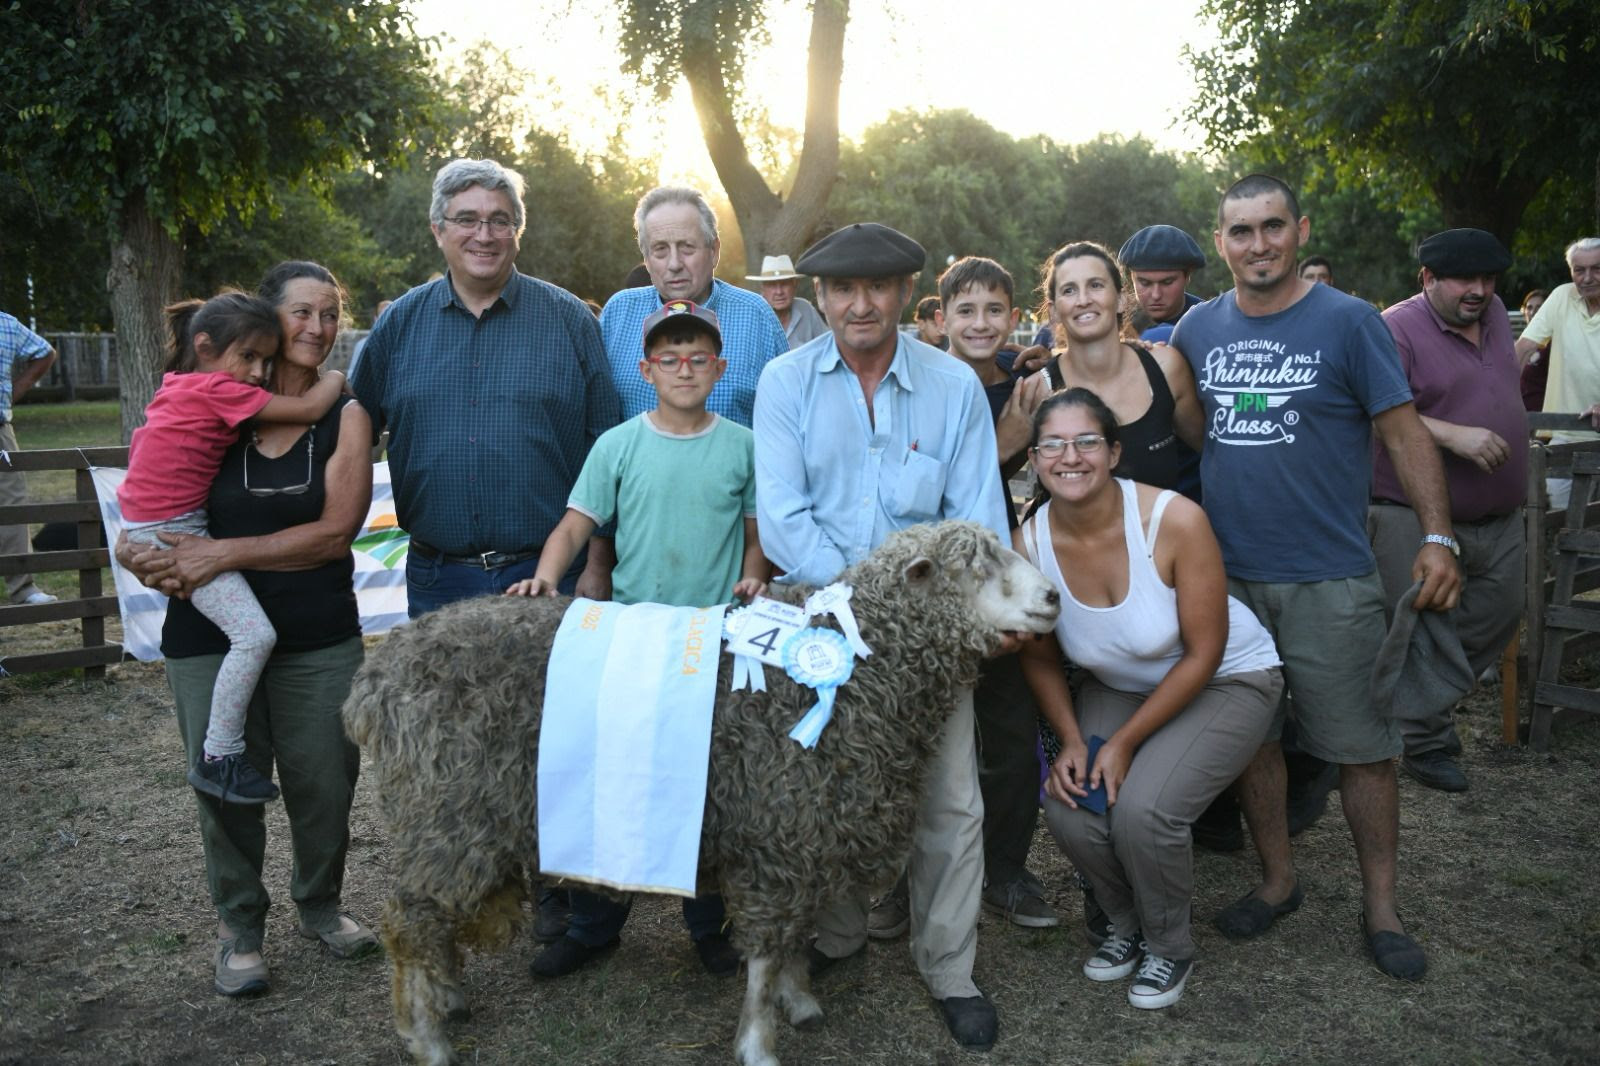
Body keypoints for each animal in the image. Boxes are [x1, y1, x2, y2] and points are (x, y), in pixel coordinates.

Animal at [342, 518, 1062, 1062]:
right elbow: (766, 955)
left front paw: (800, 1001)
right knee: (406, 921)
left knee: (426, 920)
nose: (1053, 598)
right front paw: (761, 1043)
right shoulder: (777, 832)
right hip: (447, 815)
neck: (861, 673)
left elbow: (791, 940)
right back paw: (426, 1035)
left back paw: (446, 997)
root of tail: (376, 679)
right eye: (973, 567)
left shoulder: (798, 834)